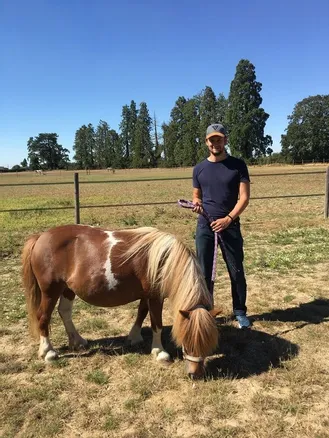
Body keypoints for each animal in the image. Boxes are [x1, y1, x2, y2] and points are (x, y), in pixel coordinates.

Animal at [21, 224, 219, 378]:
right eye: (187, 338)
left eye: (208, 342)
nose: (195, 374)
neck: (165, 260)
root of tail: (40, 237)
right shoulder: (155, 296)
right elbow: (157, 323)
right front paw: (160, 352)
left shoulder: (146, 295)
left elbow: (142, 313)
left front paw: (134, 337)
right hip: (50, 291)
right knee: (43, 316)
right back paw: (48, 352)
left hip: (67, 289)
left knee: (64, 312)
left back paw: (77, 341)